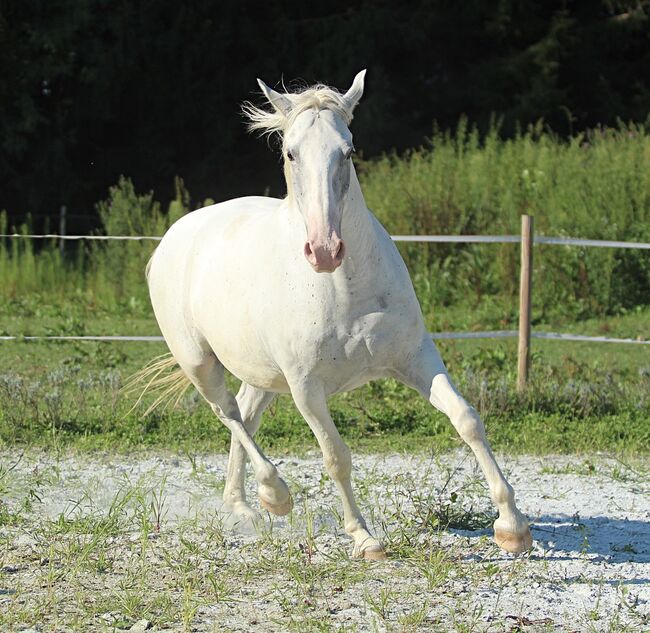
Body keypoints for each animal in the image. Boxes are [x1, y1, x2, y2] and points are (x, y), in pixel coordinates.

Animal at [144, 70, 528, 556]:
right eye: (290, 152)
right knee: (228, 413)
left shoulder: (416, 358)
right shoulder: (307, 388)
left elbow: (467, 420)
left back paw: (245, 506)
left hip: (262, 373)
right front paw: (364, 538)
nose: (325, 250)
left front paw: (512, 527)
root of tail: (173, 236)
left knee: (246, 414)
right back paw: (275, 495)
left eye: (348, 150)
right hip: (200, 362)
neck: (344, 289)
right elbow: (335, 455)